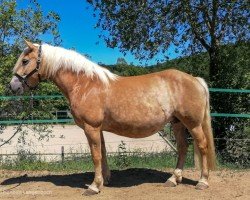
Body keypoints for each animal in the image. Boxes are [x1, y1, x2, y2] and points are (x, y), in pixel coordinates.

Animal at [9, 40, 216, 195]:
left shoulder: (91, 127)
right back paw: (173, 179)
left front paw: (94, 186)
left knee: (202, 146)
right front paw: (105, 180)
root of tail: (195, 80)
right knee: (183, 147)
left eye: (25, 61)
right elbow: (103, 152)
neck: (85, 84)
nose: (13, 87)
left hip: (193, 124)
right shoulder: (97, 128)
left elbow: (95, 155)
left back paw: (203, 182)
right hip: (177, 123)